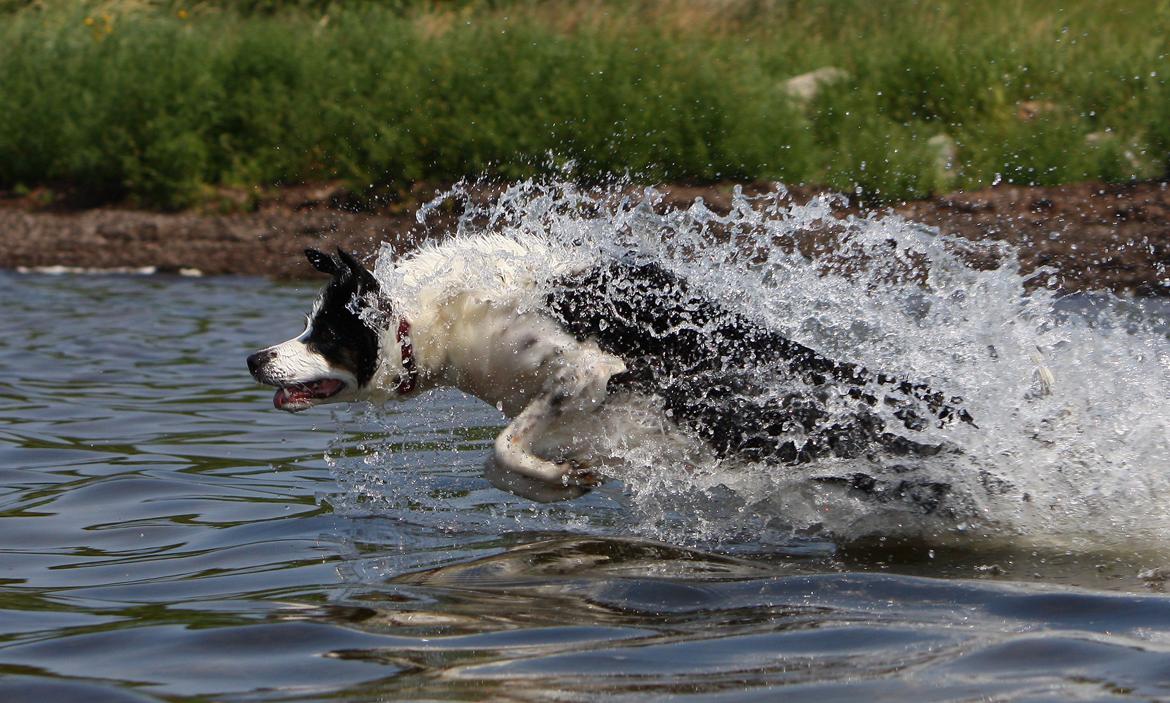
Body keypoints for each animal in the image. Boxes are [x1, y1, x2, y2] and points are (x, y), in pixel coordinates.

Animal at [251, 236, 973, 505]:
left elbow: (500, 448)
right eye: (307, 325)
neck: (426, 318)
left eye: (325, 333)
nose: (255, 359)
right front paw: (568, 479)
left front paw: (560, 479)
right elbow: (504, 458)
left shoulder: (589, 370)